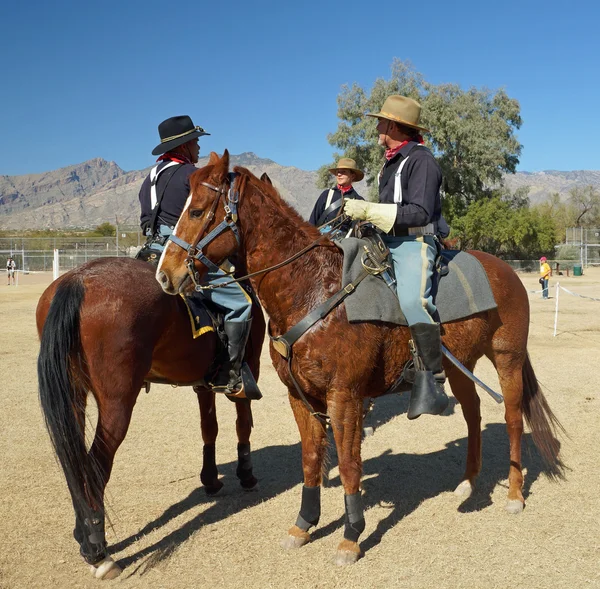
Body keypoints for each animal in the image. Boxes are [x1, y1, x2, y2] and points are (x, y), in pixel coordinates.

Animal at [154, 153, 564, 564]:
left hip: (507, 358)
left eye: (197, 210)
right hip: (458, 365)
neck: (314, 289)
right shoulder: (300, 397)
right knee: (474, 414)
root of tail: (506, 271)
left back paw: (514, 494)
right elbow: (311, 460)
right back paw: (468, 483)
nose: (165, 274)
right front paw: (304, 525)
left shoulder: (345, 397)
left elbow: (350, 464)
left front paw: (351, 535)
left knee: (512, 418)